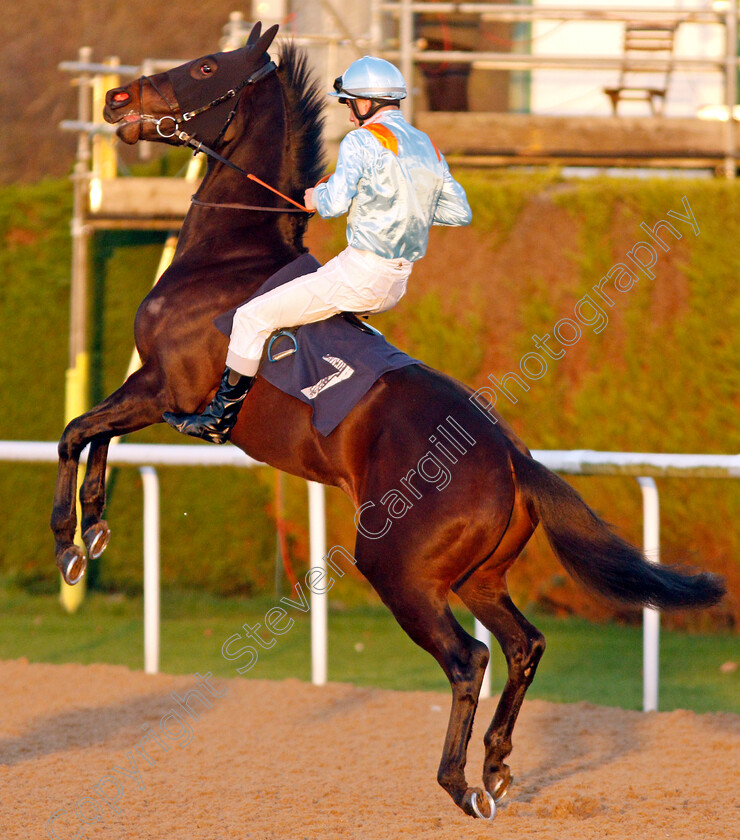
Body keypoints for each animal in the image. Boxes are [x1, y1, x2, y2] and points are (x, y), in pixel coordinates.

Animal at [49, 24, 724, 820]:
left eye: (207, 66)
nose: (117, 98)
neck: (229, 258)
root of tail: (513, 460)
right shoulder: (150, 389)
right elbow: (95, 437)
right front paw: (93, 529)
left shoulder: (164, 388)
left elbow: (76, 432)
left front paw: (67, 540)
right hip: (477, 577)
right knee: (524, 645)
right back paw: (497, 764)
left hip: (398, 569)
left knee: (470, 658)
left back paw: (459, 781)